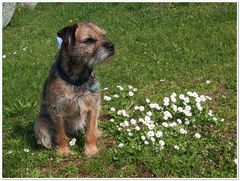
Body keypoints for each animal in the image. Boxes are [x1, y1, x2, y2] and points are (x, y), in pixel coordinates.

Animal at [34, 21, 115, 156]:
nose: (112, 46)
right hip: (40, 124)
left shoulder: (93, 106)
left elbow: (90, 130)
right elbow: (61, 133)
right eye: (89, 40)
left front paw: (90, 149)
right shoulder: (57, 110)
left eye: (103, 35)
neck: (77, 79)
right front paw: (63, 151)